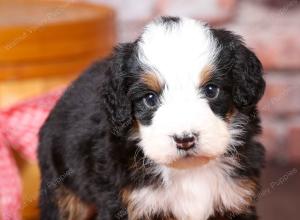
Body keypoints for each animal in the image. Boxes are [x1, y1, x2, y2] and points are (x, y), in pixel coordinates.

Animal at [37, 15, 264, 220]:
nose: (184, 140)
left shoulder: (237, 198)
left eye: (211, 90)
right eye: (149, 98)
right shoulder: (126, 204)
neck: (189, 171)